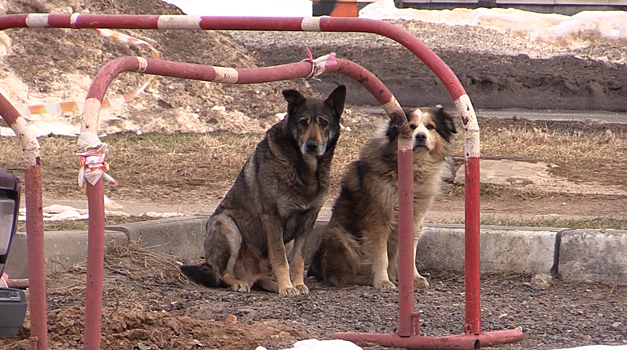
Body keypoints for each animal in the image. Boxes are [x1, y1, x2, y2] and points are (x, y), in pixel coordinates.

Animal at [180, 85, 348, 296]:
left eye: (324, 123)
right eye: (303, 122)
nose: (311, 145)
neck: (305, 168)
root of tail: (248, 276)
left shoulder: (308, 222)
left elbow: (298, 260)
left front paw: (297, 284)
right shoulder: (273, 218)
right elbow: (280, 259)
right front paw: (287, 287)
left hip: (286, 241)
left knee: (261, 278)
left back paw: (272, 285)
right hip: (228, 226)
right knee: (223, 274)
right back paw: (239, 283)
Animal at [308, 106, 456, 290]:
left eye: (430, 127)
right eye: (411, 127)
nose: (420, 136)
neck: (414, 169)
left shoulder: (416, 221)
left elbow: (410, 252)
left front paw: (414, 277)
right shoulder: (378, 220)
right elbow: (381, 256)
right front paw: (383, 281)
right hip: (337, 236)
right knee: (342, 275)